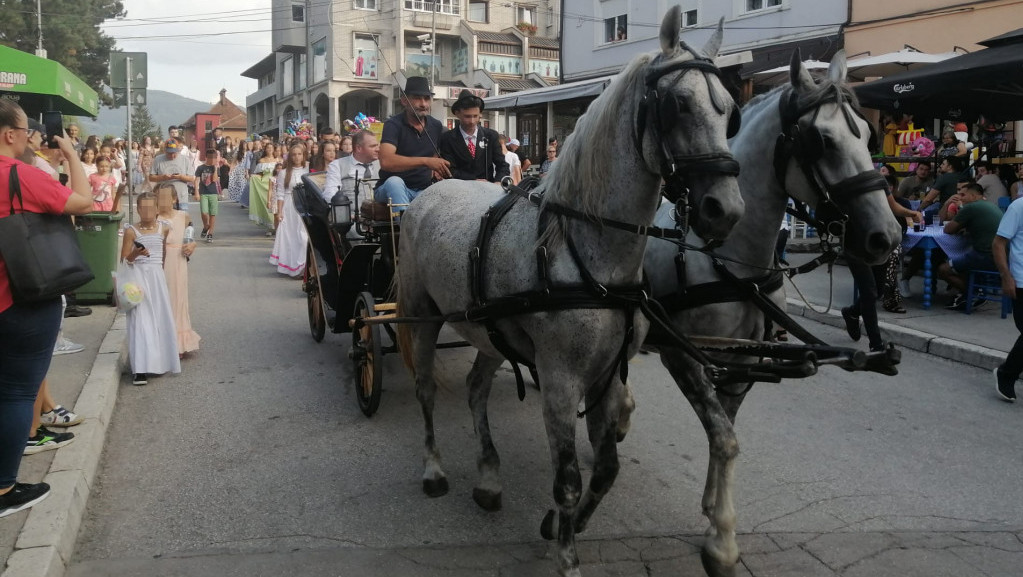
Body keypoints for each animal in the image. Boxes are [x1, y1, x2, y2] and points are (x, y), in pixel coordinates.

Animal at [396, 5, 744, 577]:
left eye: (731, 111)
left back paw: (488, 476)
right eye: (678, 103)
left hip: (489, 332)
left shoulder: (607, 376)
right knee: (425, 389)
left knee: (475, 388)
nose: (726, 210)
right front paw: (565, 551)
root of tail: (435, 188)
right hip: (420, 316)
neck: (585, 249)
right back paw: (432, 470)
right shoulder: (561, 382)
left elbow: (606, 469)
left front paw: (561, 525)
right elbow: (568, 480)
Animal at [646, 50, 904, 577]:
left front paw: (712, 509)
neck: (727, 256)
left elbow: (724, 430)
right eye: (822, 139)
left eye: (868, 137)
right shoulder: (682, 355)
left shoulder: (742, 361)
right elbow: (724, 436)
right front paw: (723, 543)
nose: (886, 237)